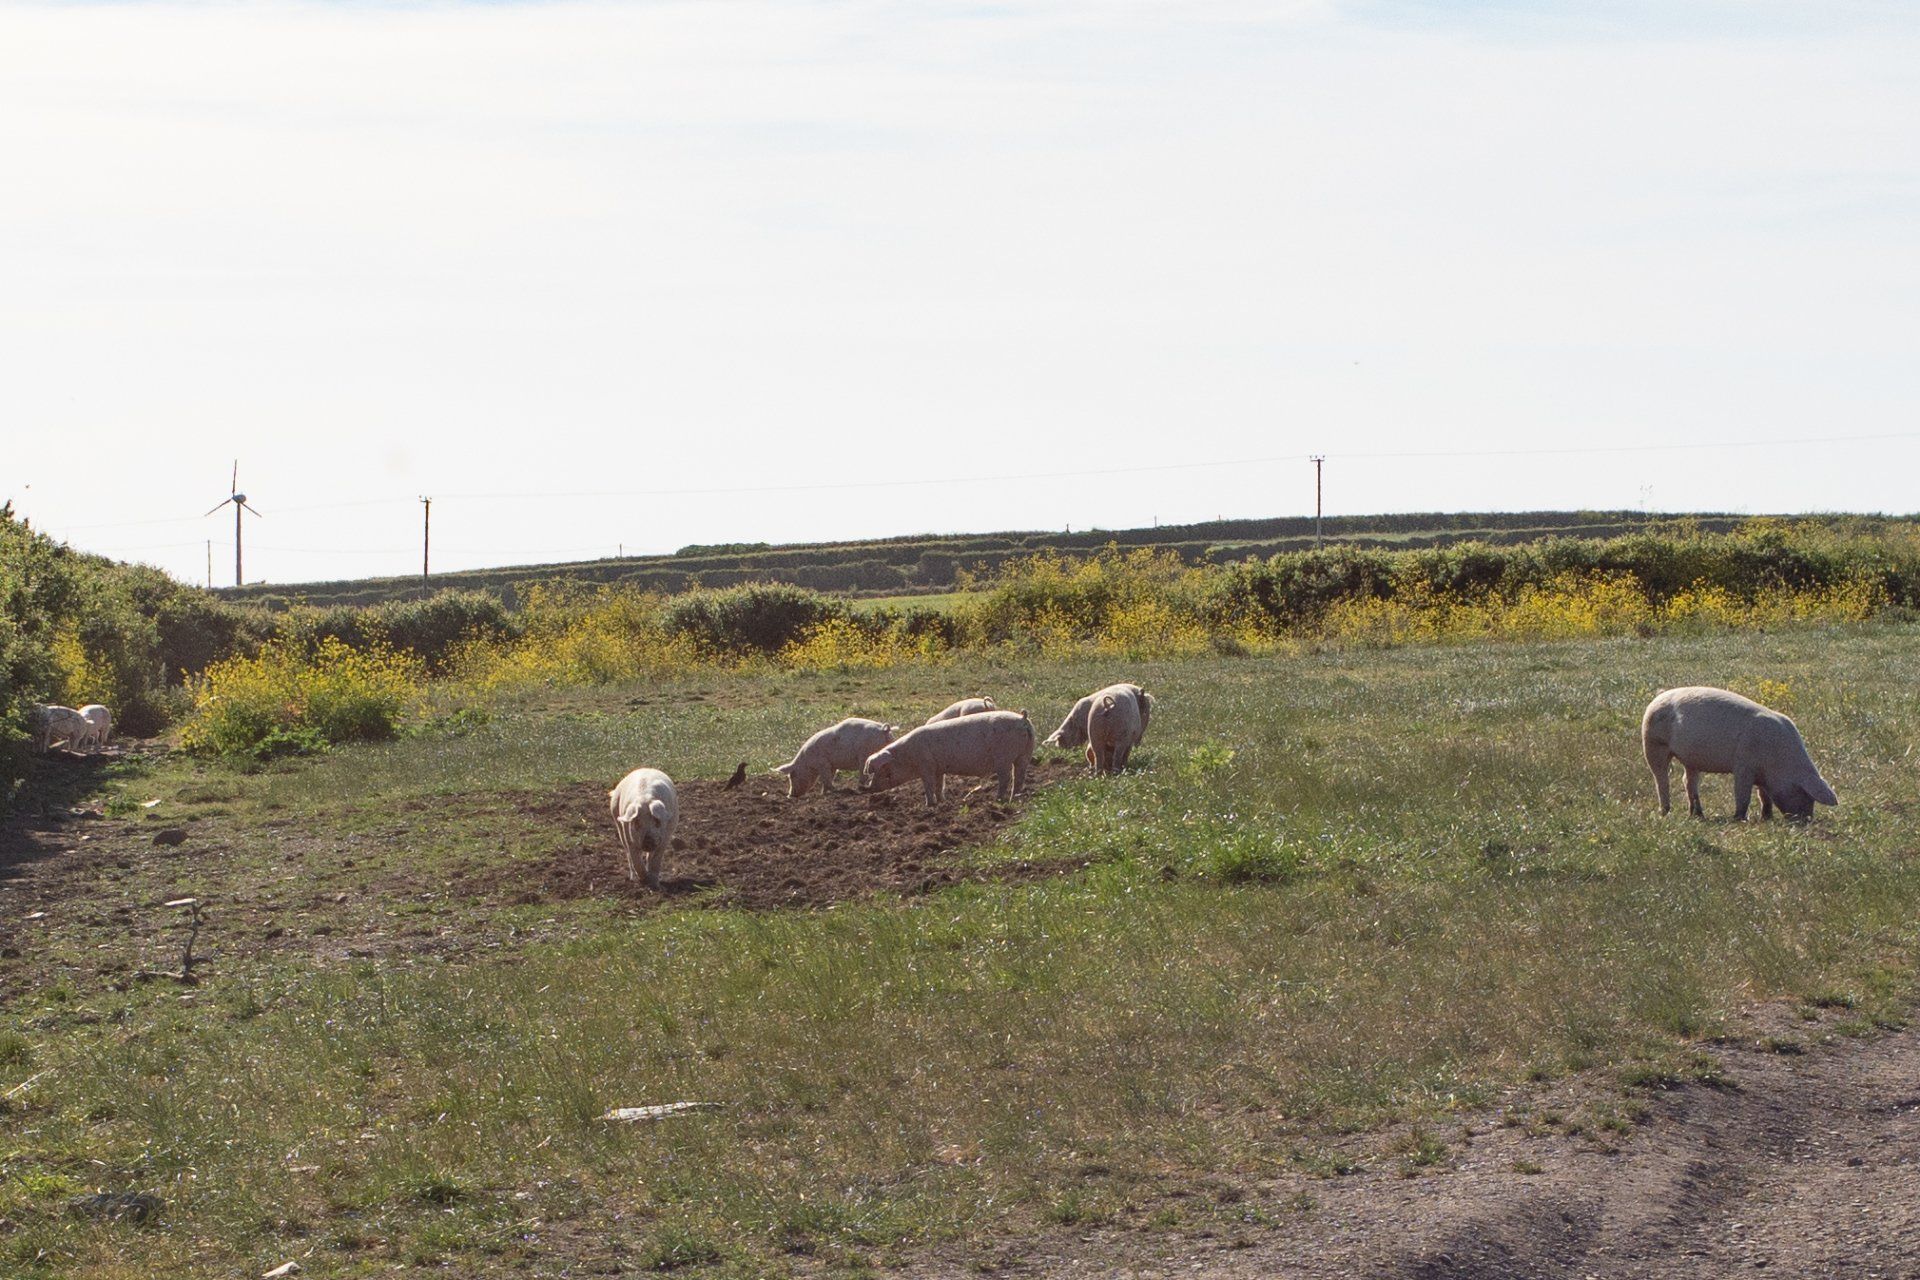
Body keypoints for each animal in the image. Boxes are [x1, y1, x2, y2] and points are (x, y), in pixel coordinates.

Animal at [860, 709, 1035, 806]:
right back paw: (1014, 798)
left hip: (1003, 758)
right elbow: (939, 785)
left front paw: (929, 805)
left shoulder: (927, 766)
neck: (906, 757)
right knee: (1019, 776)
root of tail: (1022, 719)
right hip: (1024, 754)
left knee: (1006, 778)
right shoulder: (939, 769)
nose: (867, 788)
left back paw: (998, 800)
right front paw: (942, 802)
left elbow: (929, 786)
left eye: (881, 770)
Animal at [1641, 686, 1838, 821]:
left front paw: (1767, 817)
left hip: (1690, 759)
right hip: (1652, 743)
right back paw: (1665, 813)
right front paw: (1740, 819)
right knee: (1661, 779)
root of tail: (1657, 697)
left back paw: (1698, 815)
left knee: (1688, 782)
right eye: (1805, 794)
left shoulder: (1762, 776)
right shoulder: (1743, 765)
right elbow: (1743, 793)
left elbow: (1764, 796)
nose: (1806, 820)